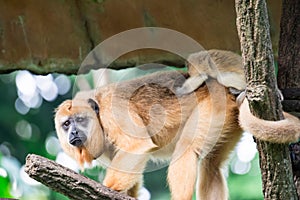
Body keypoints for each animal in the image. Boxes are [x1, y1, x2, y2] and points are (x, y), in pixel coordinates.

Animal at [55, 70, 298, 200]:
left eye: (80, 120)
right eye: (66, 124)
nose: (73, 132)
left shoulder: (112, 111)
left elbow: (138, 146)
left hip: (213, 106)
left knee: (187, 148)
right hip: (227, 118)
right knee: (211, 165)